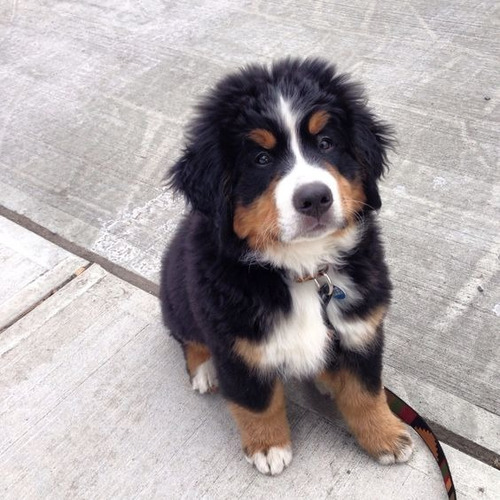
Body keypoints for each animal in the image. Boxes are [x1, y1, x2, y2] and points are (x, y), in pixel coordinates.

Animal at [161, 56, 414, 474]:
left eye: (326, 143)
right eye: (261, 159)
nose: (314, 198)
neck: (305, 270)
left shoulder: (360, 327)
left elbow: (366, 391)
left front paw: (386, 436)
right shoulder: (238, 346)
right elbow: (257, 402)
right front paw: (268, 447)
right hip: (176, 296)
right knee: (188, 338)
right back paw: (204, 370)